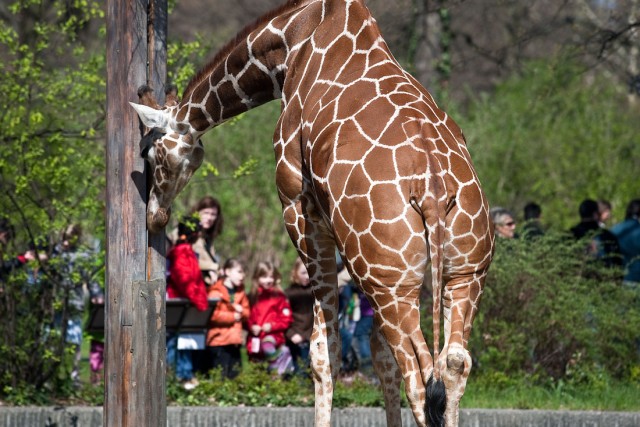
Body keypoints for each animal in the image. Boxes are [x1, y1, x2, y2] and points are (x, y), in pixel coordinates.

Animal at [129, 1, 490, 426]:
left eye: (150, 152)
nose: (156, 216)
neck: (290, 42)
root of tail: (433, 192)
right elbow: (376, 354)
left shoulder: (300, 208)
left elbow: (323, 351)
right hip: (460, 273)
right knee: (453, 364)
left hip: (391, 282)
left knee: (419, 375)